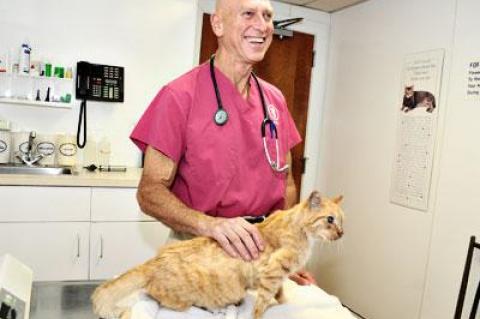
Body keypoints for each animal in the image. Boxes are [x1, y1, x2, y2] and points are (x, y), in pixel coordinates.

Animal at [91, 192, 344, 319]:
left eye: (343, 221)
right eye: (330, 219)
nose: (341, 233)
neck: (302, 231)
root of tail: (152, 262)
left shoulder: (278, 276)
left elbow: (280, 293)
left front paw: (284, 302)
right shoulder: (272, 272)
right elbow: (262, 302)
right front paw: (265, 312)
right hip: (186, 298)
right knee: (163, 299)